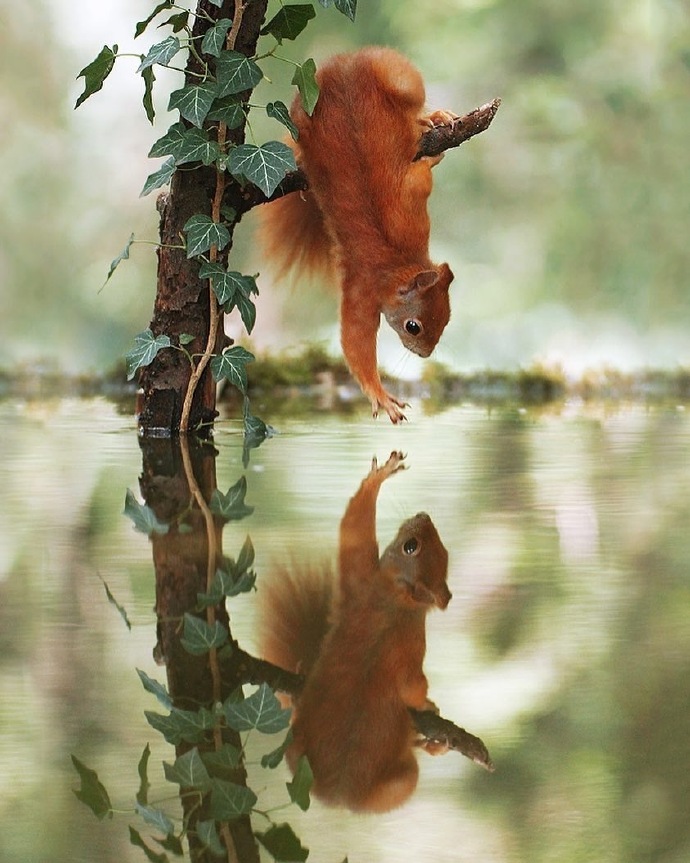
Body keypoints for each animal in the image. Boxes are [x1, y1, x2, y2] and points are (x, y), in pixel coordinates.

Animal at [258, 452, 452, 816]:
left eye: (411, 546)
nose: (423, 515)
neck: (397, 603)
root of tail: (338, 797)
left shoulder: (367, 588)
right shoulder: (366, 589)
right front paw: (380, 475)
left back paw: (432, 743)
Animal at [260, 49, 454, 424]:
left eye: (448, 317)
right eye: (413, 326)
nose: (425, 354)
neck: (400, 262)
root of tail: (342, 63)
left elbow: (420, 175)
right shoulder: (363, 286)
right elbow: (355, 340)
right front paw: (380, 395)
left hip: (400, 79)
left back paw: (431, 117)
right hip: (302, 112)